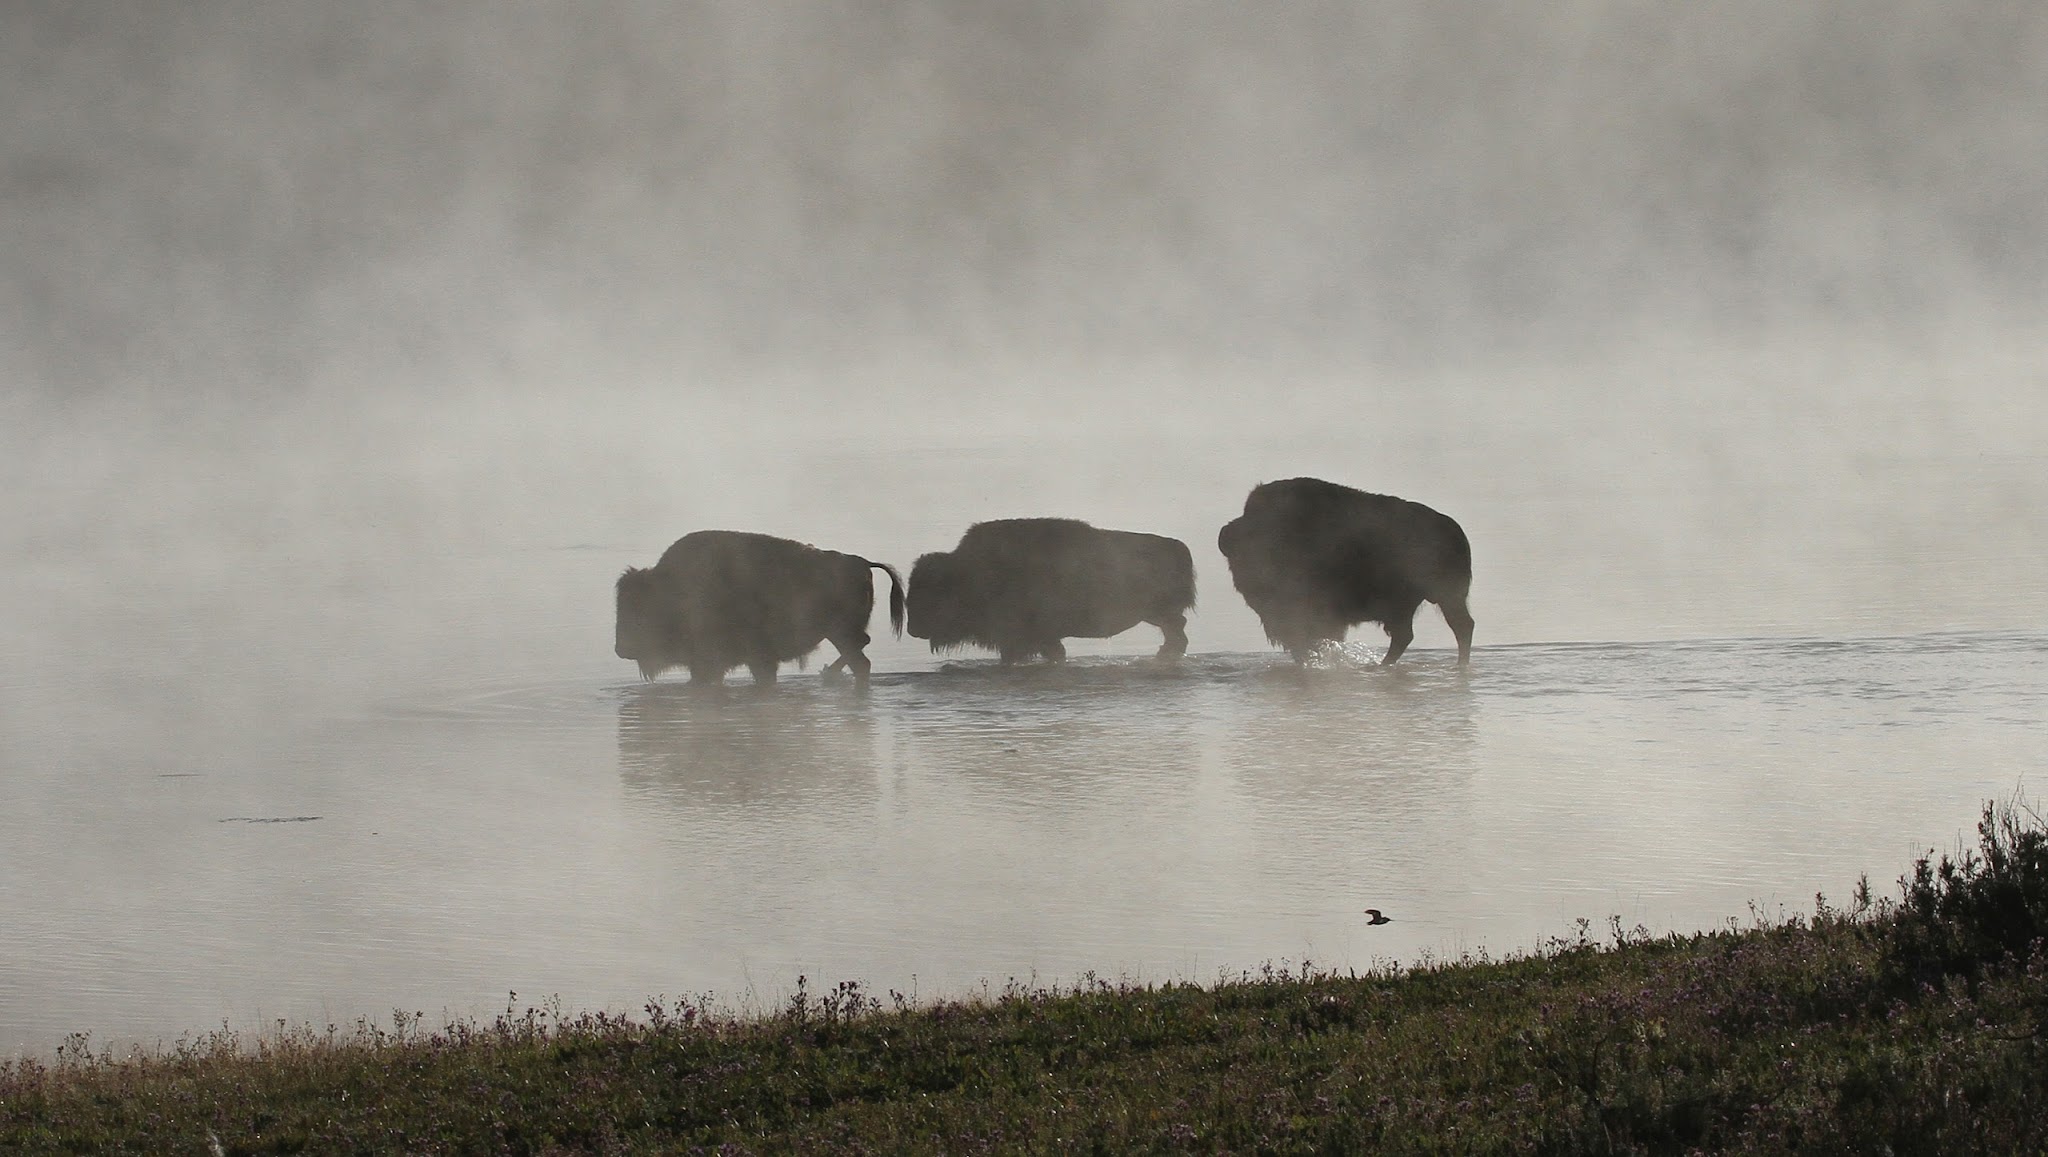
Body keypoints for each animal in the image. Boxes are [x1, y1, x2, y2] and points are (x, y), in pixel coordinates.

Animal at [614, 528, 905, 683]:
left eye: (637, 609)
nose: (620, 649)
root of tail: (862, 563)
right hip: (838, 633)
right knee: (861, 658)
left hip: (839, 632)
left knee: (860, 654)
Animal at [905, 518, 1196, 663]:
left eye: (930, 594)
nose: (912, 630)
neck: (965, 574)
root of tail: (1178, 546)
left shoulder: (1025, 637)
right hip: (1155, 614)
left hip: (1157, 612)